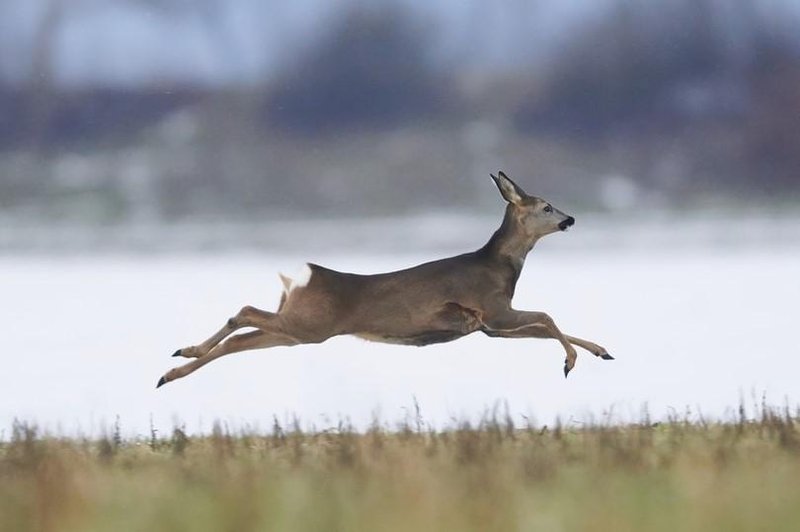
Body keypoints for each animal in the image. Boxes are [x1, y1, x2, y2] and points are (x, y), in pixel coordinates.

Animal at [158, 172, 612, 388]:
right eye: (547, 206)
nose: (571, 218)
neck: (499, 266)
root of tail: (300, 278)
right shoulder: (493, 310)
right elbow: (548, 317)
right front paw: (571, 361)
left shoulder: (488, 327)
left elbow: (546, 326)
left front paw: (601, 351)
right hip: (310, 326)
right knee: (244, 312)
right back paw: (182, 355)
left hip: (297, 330)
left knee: (240, 338)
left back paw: (172, 369)